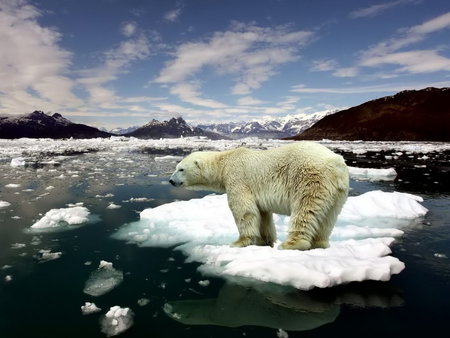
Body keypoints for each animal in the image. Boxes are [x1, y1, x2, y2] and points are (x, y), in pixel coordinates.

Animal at [169, 141, 348, 250]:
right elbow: (263, 214)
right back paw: (320, 243)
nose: (171, 181)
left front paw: (239, 242)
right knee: (328, 217)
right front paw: (264, 241)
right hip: (337, 192)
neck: (224, 162)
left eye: (181, 169)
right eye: (176, 167)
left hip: (309, 178)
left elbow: (244, 210)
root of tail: (336, 163)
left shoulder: (238, 178)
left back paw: (291, 244)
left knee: (305, 210)